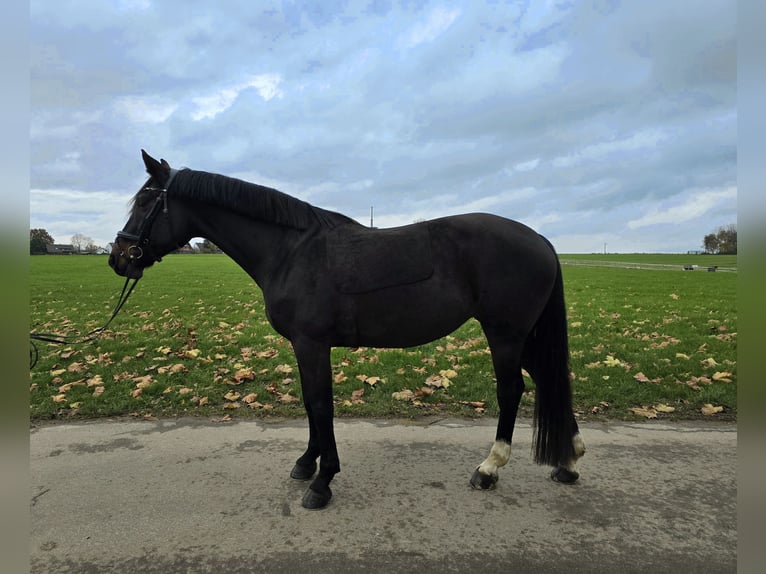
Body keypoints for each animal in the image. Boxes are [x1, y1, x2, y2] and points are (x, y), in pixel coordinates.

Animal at [109, 151, 588, 510]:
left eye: (147, 202)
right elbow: (309, 403)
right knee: (550, 378)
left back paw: (489, 469)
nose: (118, 258)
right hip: (522, 337)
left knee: (513, 391)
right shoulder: (304, 347)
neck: (292, 251)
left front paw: (322, 482)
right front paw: (307, 462)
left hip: (504, 334)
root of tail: (542, 241)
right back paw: (568, 462)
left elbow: (321, 405)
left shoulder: (312, 344)